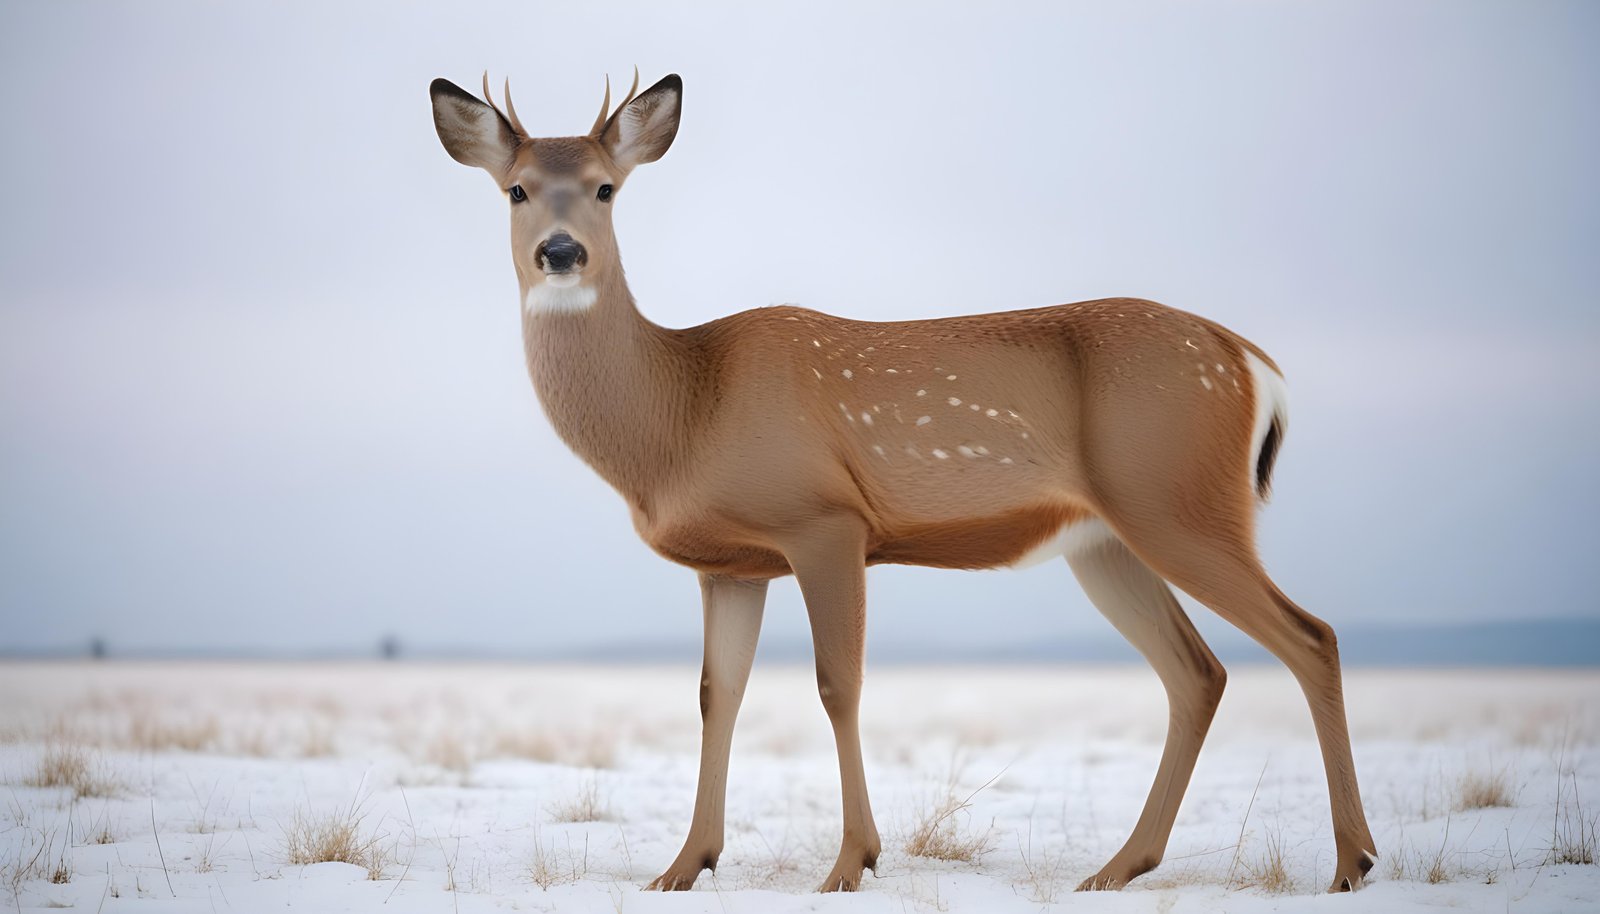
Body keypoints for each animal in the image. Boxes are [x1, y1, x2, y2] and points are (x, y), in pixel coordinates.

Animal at [428, 70, 1377, 895]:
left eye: (605, 189)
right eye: (515, 190)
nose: (560, 253)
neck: (681, 415)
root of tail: (1249, 361)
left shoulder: (826, 519)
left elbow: (836, 684)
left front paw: (852, 862)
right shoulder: (729, 565)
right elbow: (715, 695)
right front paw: (681, 867)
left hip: (1178, 498)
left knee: (1311, 636)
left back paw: (1350, 863)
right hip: (1107, 540)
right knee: (1199, 673)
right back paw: (1116, 868)